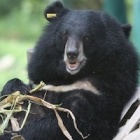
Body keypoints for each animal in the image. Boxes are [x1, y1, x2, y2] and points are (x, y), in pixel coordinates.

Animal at [0, 1, 139, 140]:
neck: (72, 76)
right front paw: (19, 88)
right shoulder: (44, 73)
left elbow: (68, 124)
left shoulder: (102, 96)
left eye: (87, 37)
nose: (72, 54)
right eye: (65, 34)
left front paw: (17, 134)